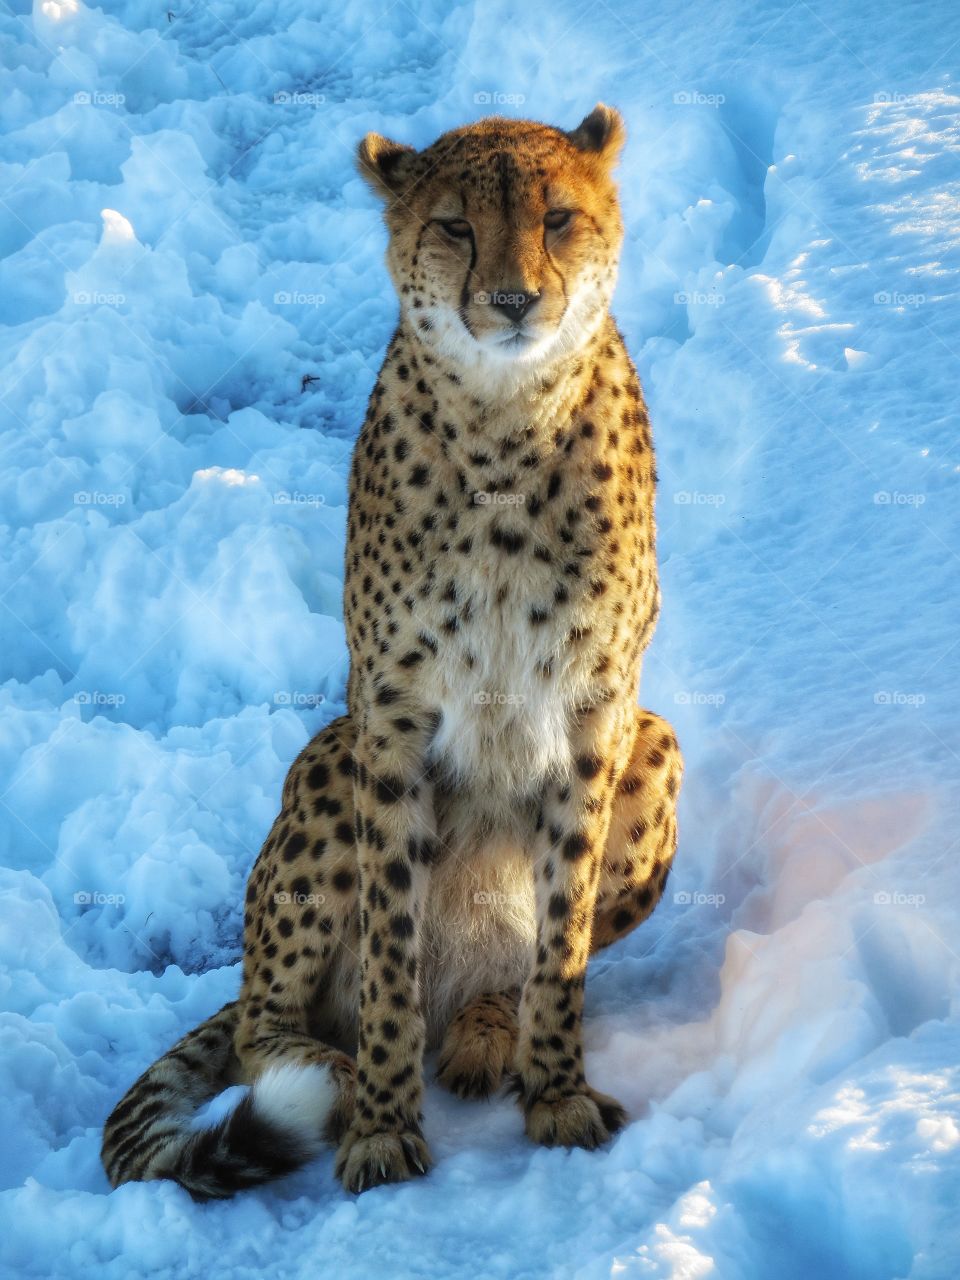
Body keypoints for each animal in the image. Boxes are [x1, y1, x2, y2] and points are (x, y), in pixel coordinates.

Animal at [104, 107, 686, 1198]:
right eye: (456, 226)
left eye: (557, 217)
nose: (512, 300)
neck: (507, 422)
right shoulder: (395, 713)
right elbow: (388, 950)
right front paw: (379, 1123)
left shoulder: (596, 709)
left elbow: (562, 937)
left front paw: (557, 1090)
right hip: (333, 755)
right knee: (258, 1028)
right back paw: (329, 1074)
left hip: (658, 739)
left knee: (505, 972)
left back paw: (486, 1028)